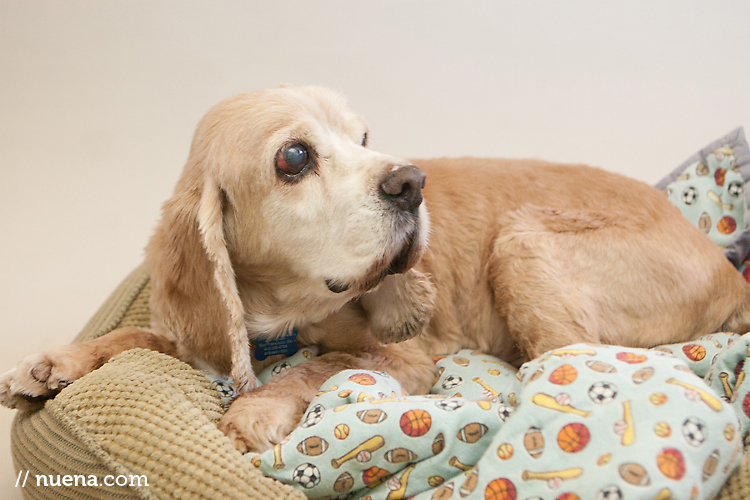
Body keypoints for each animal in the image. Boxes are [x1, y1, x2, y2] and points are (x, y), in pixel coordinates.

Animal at [1, 86, 750, 454]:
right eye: (295, 157)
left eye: (363, 137)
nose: (412, 183)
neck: (283, 315)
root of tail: (726, 267)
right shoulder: (203, 327)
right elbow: (140, 336)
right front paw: (54, 362)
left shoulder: (406, 359)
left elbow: (321, 368)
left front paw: (257, 409)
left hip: (521, 241)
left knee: (570, 365)